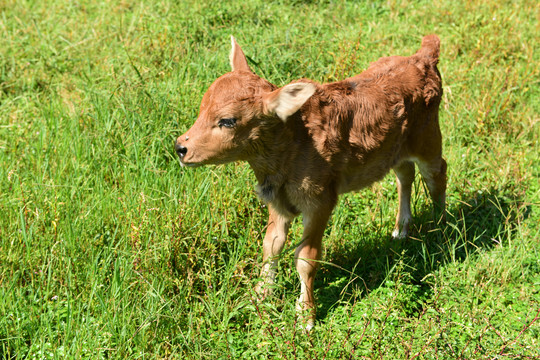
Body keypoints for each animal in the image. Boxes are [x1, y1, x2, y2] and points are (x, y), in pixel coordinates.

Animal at [175, 35, 446, 330]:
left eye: (227, 120)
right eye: (202, 108)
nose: (180, 147)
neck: (294, 142)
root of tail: (423, 57)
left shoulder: (319, 201)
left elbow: (305, 257)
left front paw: (306, 316)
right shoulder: (278, 201)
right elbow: (271, 246)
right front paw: (259, 297)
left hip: (428, 139)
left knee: (437, 175)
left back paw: (441, 229)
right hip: (396, 148)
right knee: (405, 174)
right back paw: (401, 230)